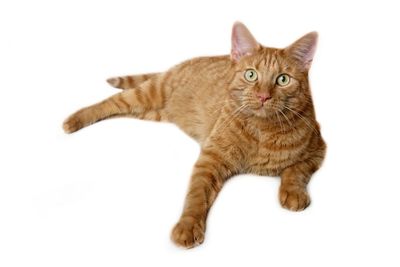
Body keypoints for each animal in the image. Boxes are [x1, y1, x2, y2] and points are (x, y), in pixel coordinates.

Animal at [62, 22, 324, 249]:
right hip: (148, 93)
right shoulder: (211, 159)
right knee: (110, 102)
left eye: (282, 79)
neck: (262, 130)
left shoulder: (318, 150)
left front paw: (293, 192)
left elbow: (296, 171)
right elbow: (197, 195)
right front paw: (188, 226)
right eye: (251, 75)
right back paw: (74, 119)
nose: (263, 96)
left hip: (150, 112)